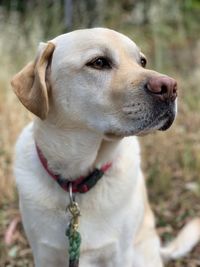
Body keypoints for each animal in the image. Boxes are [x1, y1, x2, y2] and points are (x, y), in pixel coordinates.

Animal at [11, 28, 200, 266]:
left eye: (142, 61)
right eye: (99, 62)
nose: (170, 87)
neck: (76, 181)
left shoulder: (119, 254)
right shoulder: (44, 254)